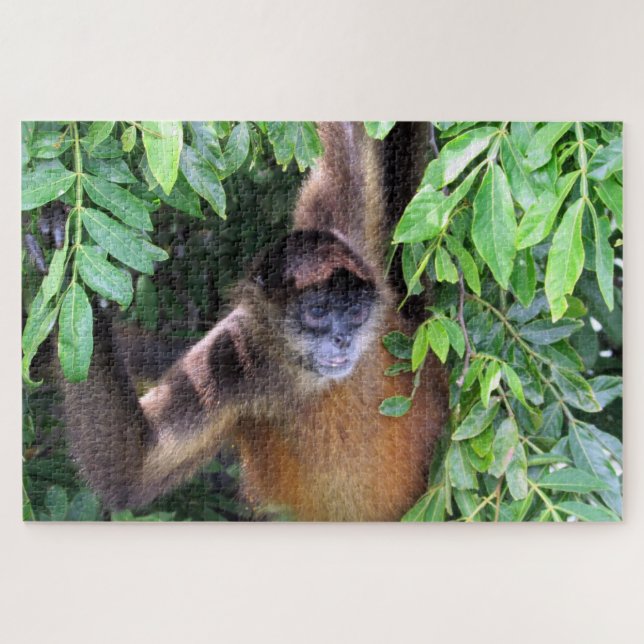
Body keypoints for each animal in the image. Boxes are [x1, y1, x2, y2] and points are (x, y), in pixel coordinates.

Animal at [63, 122, 448, 521]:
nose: (343, 338)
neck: (308, 376)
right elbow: (131, 473)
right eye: (317, 312)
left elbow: (351, 141)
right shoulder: (235, 355)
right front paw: (70, 283)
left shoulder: (348, 240)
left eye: (355, 311)